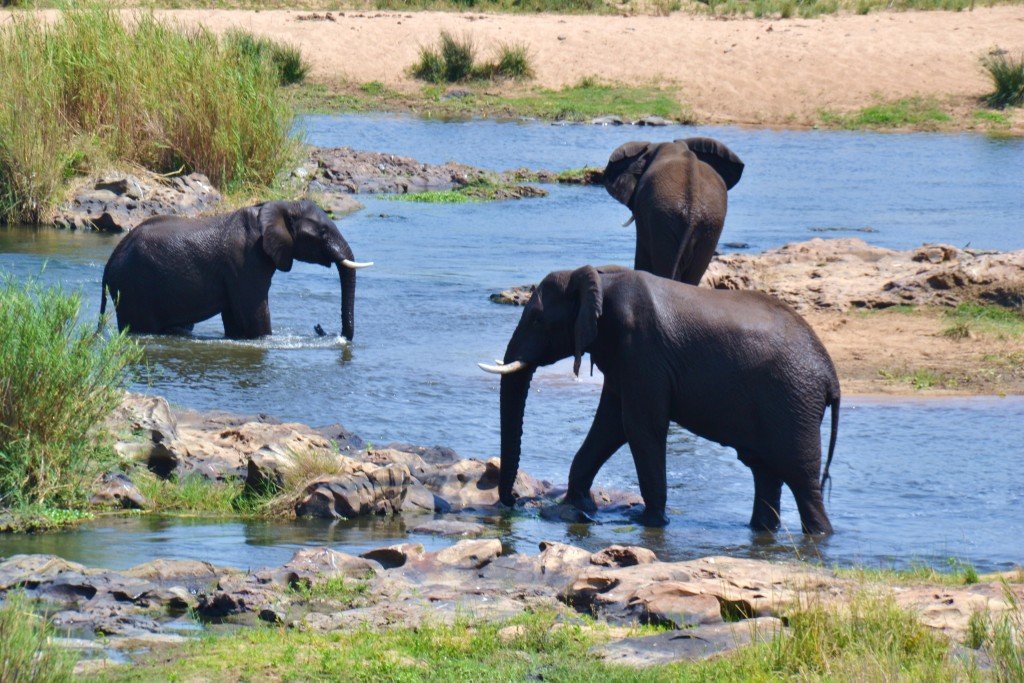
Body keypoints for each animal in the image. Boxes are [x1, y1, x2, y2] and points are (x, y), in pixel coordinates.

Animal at [98, 202, 372, 342]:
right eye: (322, 233)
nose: (319, 327)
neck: (278, 207)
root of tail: (109, 262)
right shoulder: (246, 260)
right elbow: (254, 312)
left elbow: (234, 316)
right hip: (134, 289)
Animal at [479, 266, 839, 532]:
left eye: (538, 319)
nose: (512, 500)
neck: (599, 279)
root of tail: (830, 375)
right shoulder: (623, 357)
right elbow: (610, 425)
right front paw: (575, 506)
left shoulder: (642, 349)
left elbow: (639, 427)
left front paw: (648, 522)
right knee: (764, 472)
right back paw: (761, 531)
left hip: (794, 402)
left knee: (802, 481)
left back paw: (818, 534)